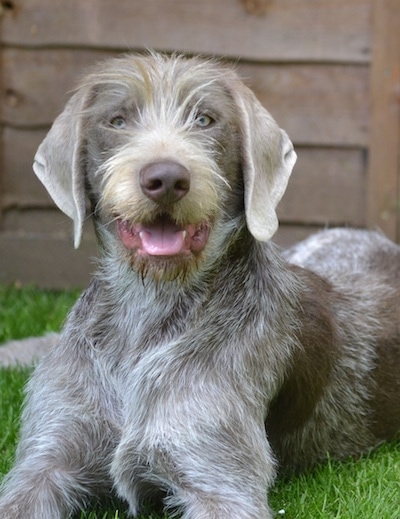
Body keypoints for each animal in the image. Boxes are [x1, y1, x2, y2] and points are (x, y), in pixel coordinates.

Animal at [0, 49, 400, 519]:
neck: (150, 303)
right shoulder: (45, 463)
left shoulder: (218, 483)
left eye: (206, 119)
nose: (166, 179)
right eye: (117, 121)